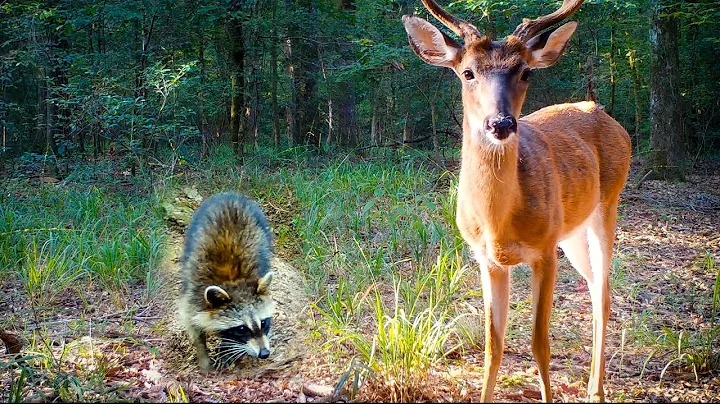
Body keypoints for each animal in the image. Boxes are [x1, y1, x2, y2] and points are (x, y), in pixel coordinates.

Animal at [402, 0, 631, 402]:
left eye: (525, 73)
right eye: (467, 72)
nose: (501, 123)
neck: (497, 223)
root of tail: (602, 112)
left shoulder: (544, 251)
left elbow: (540, 344)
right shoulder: (487, 258)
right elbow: (494, 346)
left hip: (608, 204)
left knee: (604, 295)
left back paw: (597, 391)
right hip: (571, 232)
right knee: (593, 287)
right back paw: (592, 384)